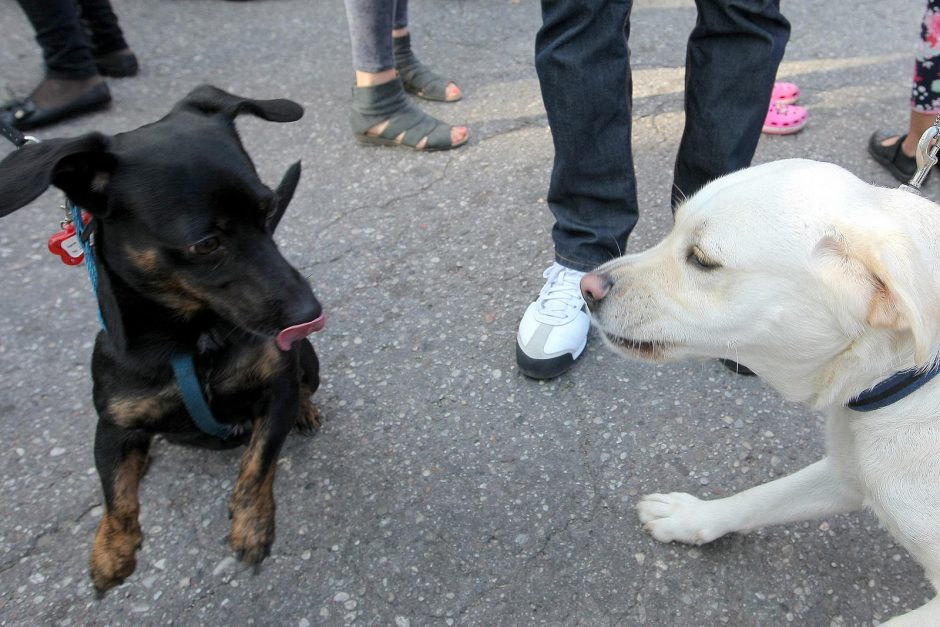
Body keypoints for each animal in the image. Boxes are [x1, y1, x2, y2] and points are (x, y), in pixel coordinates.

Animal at [0, 86, 324, 596]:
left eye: (268, 208)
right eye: (205, 244)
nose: (309, 315)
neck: (193, 339)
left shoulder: (276, 388)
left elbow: (258, 463)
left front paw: (252, 525)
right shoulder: (113, 425)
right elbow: (116, 496)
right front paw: (111, 551)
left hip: (307, 364)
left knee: (303, 387)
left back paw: (306, 410)